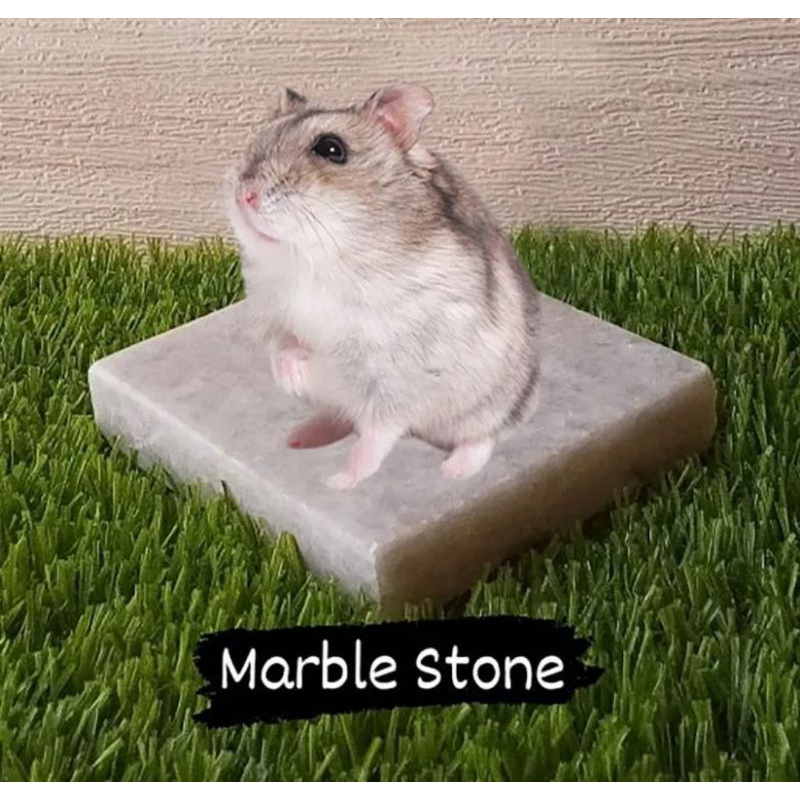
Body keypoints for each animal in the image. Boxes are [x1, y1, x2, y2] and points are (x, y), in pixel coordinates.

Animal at [225, 85, 540, 490]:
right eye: (257, 138)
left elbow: (379, 431)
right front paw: (294, 378)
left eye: (331, 149)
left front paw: (339, 482)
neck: (319, 259)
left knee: (482, 436)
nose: (244, 195)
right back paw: (299, 438)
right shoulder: (271, 314)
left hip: (489, 405)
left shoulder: (397, 375)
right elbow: (283, 346)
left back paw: (453, 473)